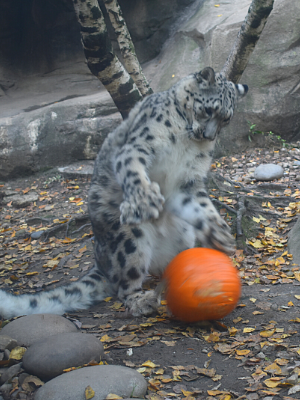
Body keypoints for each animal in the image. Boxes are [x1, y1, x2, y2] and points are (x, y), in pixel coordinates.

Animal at [0, 68, 247, 318]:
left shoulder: (188, 180)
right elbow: (133, 169)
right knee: (124, 284)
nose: (208, 136)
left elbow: (200, 205)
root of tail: (99, 261)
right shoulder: (138, 145)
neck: (185, 140)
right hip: (127, 238)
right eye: (208, 110)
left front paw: (218, 232)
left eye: (225, 119)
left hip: (183, 236)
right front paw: (144, 200)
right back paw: (142, 301)